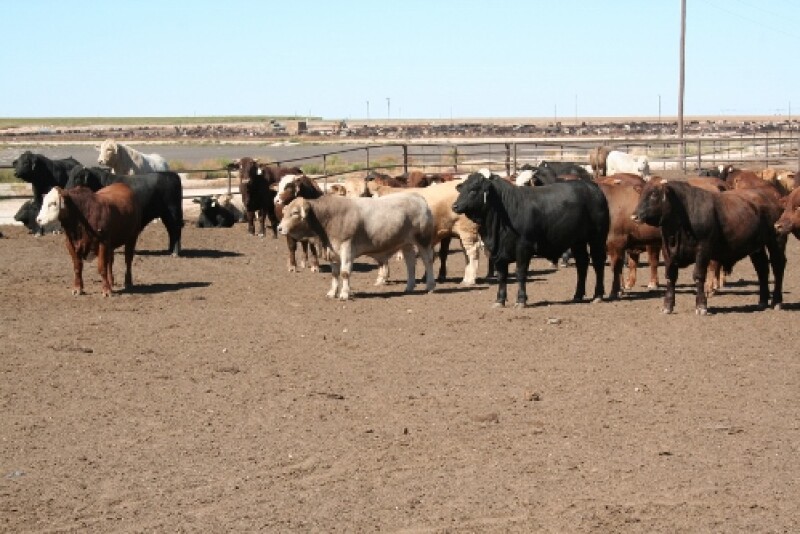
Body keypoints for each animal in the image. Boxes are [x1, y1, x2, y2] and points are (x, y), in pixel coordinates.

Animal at [276, 193, 436, 300]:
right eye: (284, 212)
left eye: (295, 212)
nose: (279, 228)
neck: (327, 219)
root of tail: (417, 197)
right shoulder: (333, 252)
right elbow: (335, 274)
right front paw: (332, 292)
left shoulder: (346, 247)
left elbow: (344, 273)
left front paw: (344, 294)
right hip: (406, 243)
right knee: (410, 263)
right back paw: (409, 286)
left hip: (423, 240)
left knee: (428, 261)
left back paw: (430, 286)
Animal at [452, 172, 609, 308]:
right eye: (462, 189)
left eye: (473, 190)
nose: (455, 206)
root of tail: (593, 187)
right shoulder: (498, 253)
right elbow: (502, 276)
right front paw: (499, 300)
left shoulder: (523, 248)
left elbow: (520, 273)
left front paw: (521, 300)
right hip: (578, 242)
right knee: (582, 264)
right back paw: (578, 295)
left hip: (597, 238)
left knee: (598, 263)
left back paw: (598, 295)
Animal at [632, 180, 786, 314]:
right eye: (641, 194)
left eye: (654, 194)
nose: (634, 216)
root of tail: (774, 194)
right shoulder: (668, 251)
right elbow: (670, 277)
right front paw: (667, 306)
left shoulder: (703, 250)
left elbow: (699, 275)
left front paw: (701, 306)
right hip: (757, 247)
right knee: (762, 269)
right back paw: (762, 301)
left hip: (776, 241)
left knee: (778, 267)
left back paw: (776, 302)